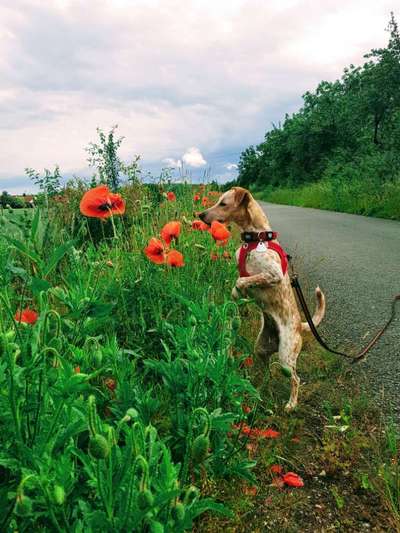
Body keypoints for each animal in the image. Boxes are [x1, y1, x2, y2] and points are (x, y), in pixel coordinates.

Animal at [198, 185, 326, 410]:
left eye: (223, 203)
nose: (201, 215)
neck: (256, 237)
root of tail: (300, 326)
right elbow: (241, 281)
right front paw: (238, 294)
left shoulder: (273, 274)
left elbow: (243, 280)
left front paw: (239, 290)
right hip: (261, 347)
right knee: (266, 368)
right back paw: (261, 385)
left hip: (286, 356)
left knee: (295, 379)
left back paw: (291, 404)